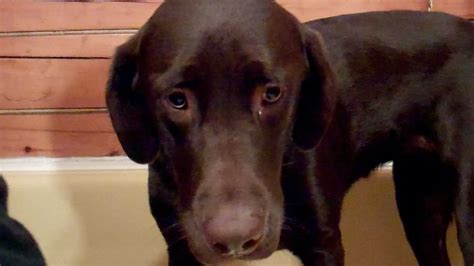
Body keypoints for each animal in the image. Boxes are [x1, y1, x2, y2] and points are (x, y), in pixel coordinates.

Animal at [107, 1, 474, 264]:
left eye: (272, 93)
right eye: (177, 100)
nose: (234, 239)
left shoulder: (324, 245)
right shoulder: (182, 250)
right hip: (419, 202)